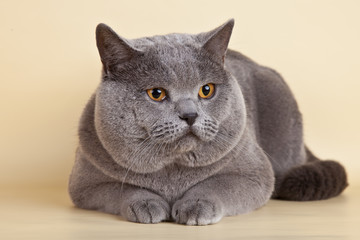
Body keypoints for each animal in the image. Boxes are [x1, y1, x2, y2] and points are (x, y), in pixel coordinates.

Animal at [67, 18, 346, 225]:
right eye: (156, 93)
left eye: (206, 90)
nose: (190, 115)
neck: (173, 171)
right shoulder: (85, 185)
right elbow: (123, 188)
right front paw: (146, 203)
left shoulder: (255, 174)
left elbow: (217, 184)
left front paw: (195, 206)